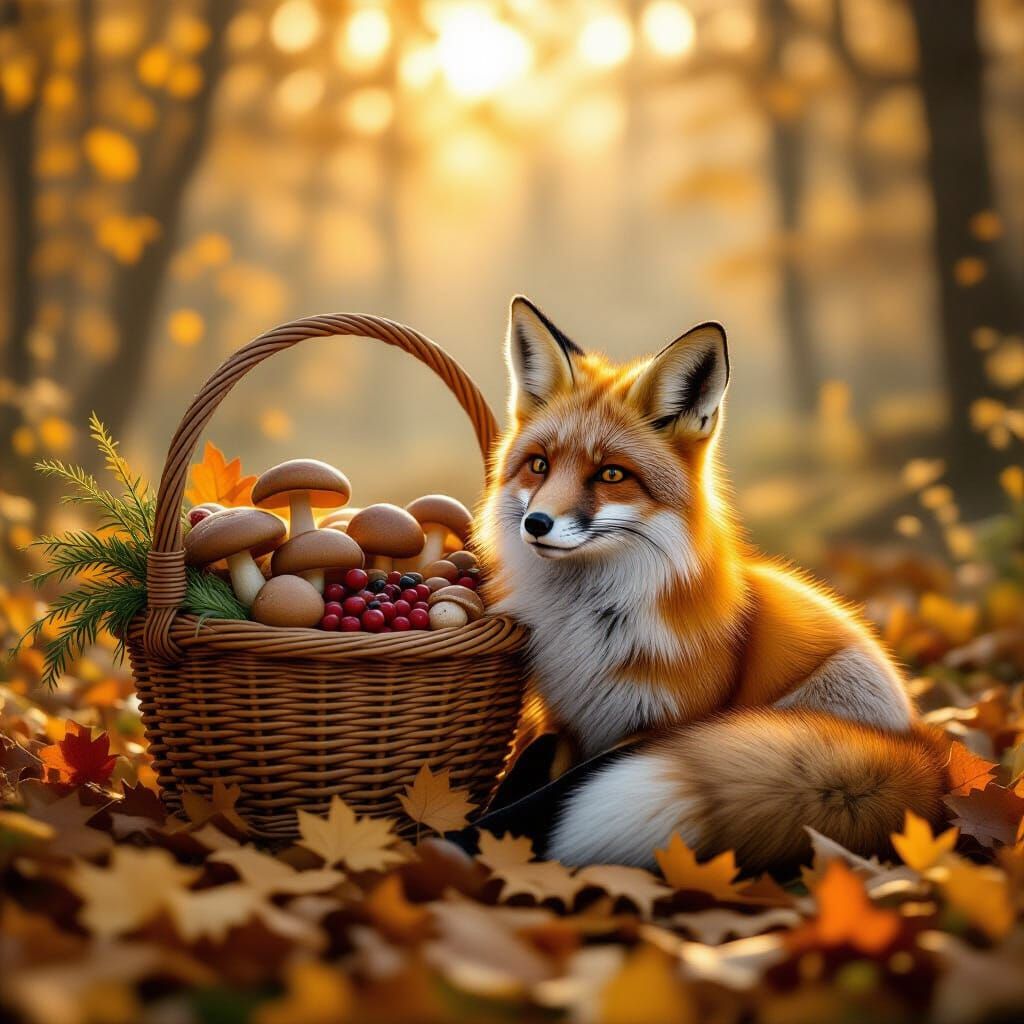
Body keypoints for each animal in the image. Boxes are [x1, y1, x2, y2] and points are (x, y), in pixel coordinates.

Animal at [474, 295, 949, 872]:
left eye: (611, 474)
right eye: (539, 466)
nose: (536, 523)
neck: (590, 624)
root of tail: (924, 753)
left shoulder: (657, 728)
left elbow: (556, 791)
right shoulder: (566, 725)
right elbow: (536, 773)